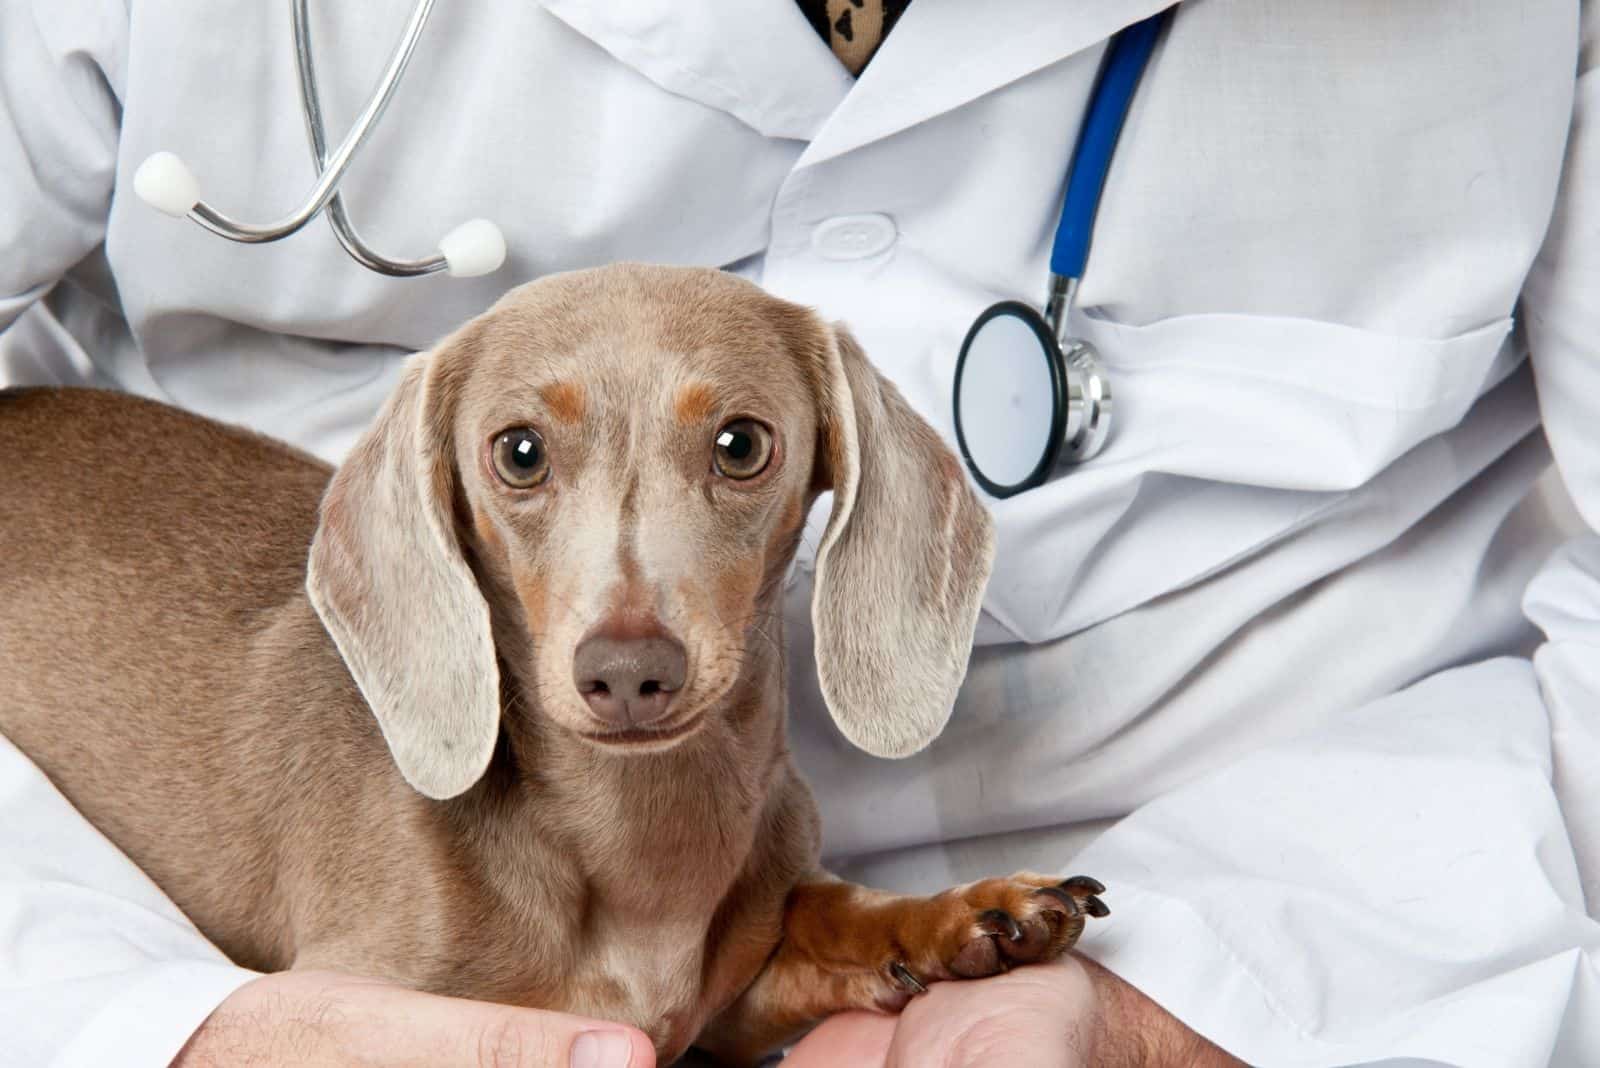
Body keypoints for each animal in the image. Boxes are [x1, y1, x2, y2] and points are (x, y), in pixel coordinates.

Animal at [0, 262, 1100, 1061]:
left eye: (742, 443)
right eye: (518, 451)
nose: (627, 671)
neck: (640, 845)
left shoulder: (728, 1009)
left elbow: (819, 918)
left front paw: (965, 914)